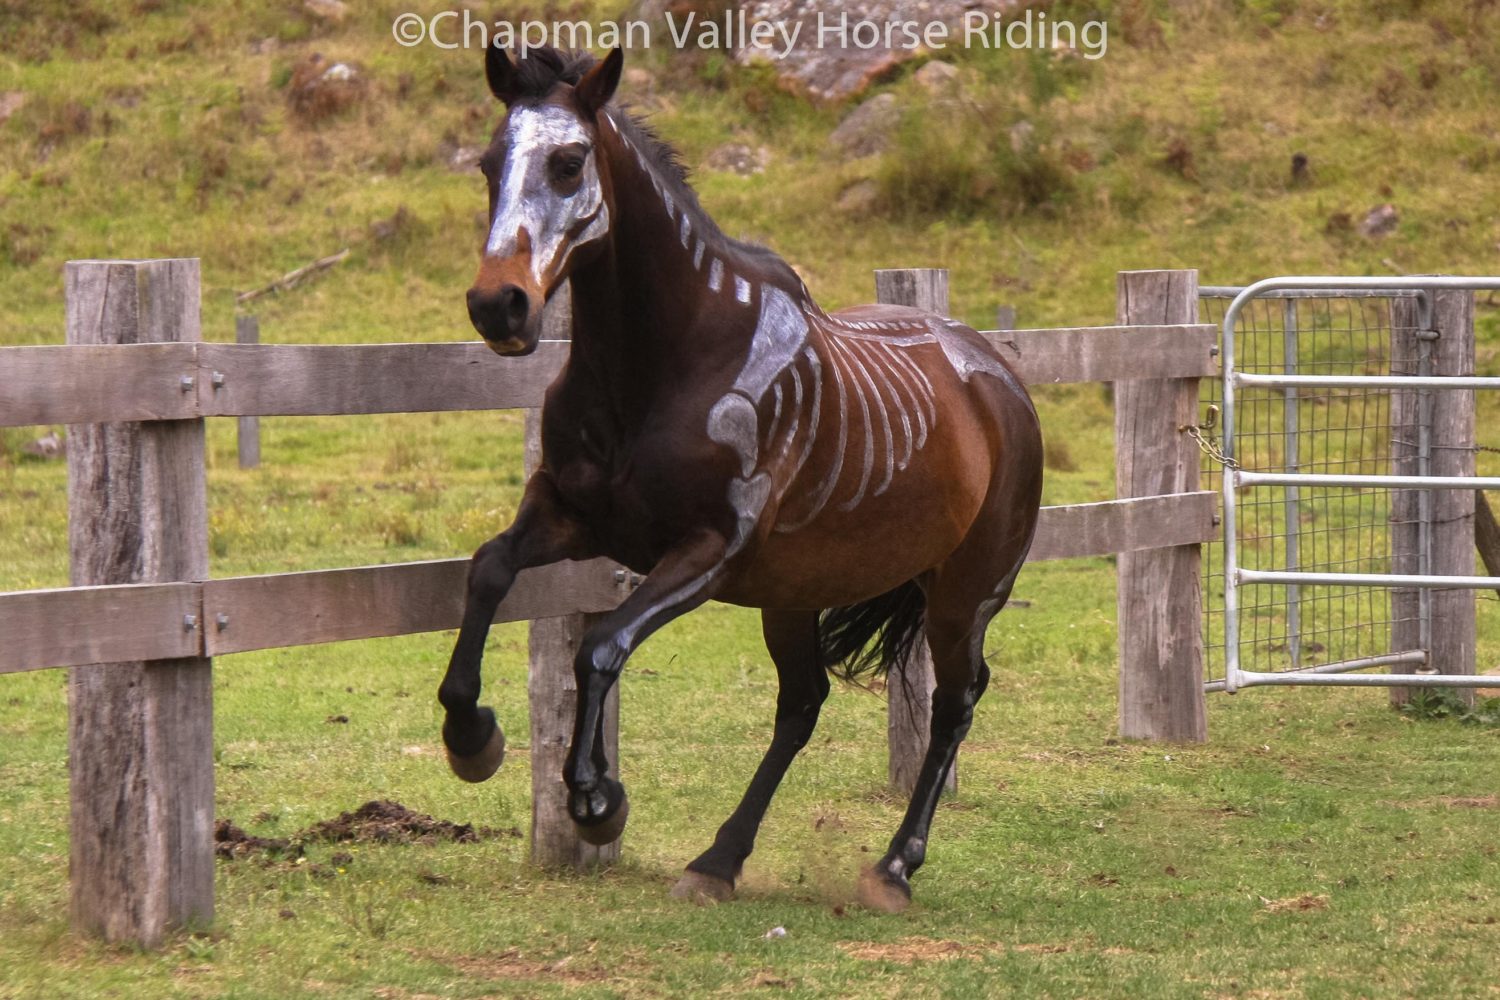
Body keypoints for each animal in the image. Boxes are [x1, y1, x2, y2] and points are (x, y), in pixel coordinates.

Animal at [435, 43, 1044, 911]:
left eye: (569, 161)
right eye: (489, 164)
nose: (499, 306)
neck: (668, 363)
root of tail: (999, 375)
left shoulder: (708, 550)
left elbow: (601, 646)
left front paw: (596, 800)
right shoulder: (569, 515)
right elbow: (488, 572)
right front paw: (471, 738)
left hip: (967, 592)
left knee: (954, 701)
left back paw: (894, 867)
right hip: (798, 592)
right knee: (802, 706)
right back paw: (717, 861)